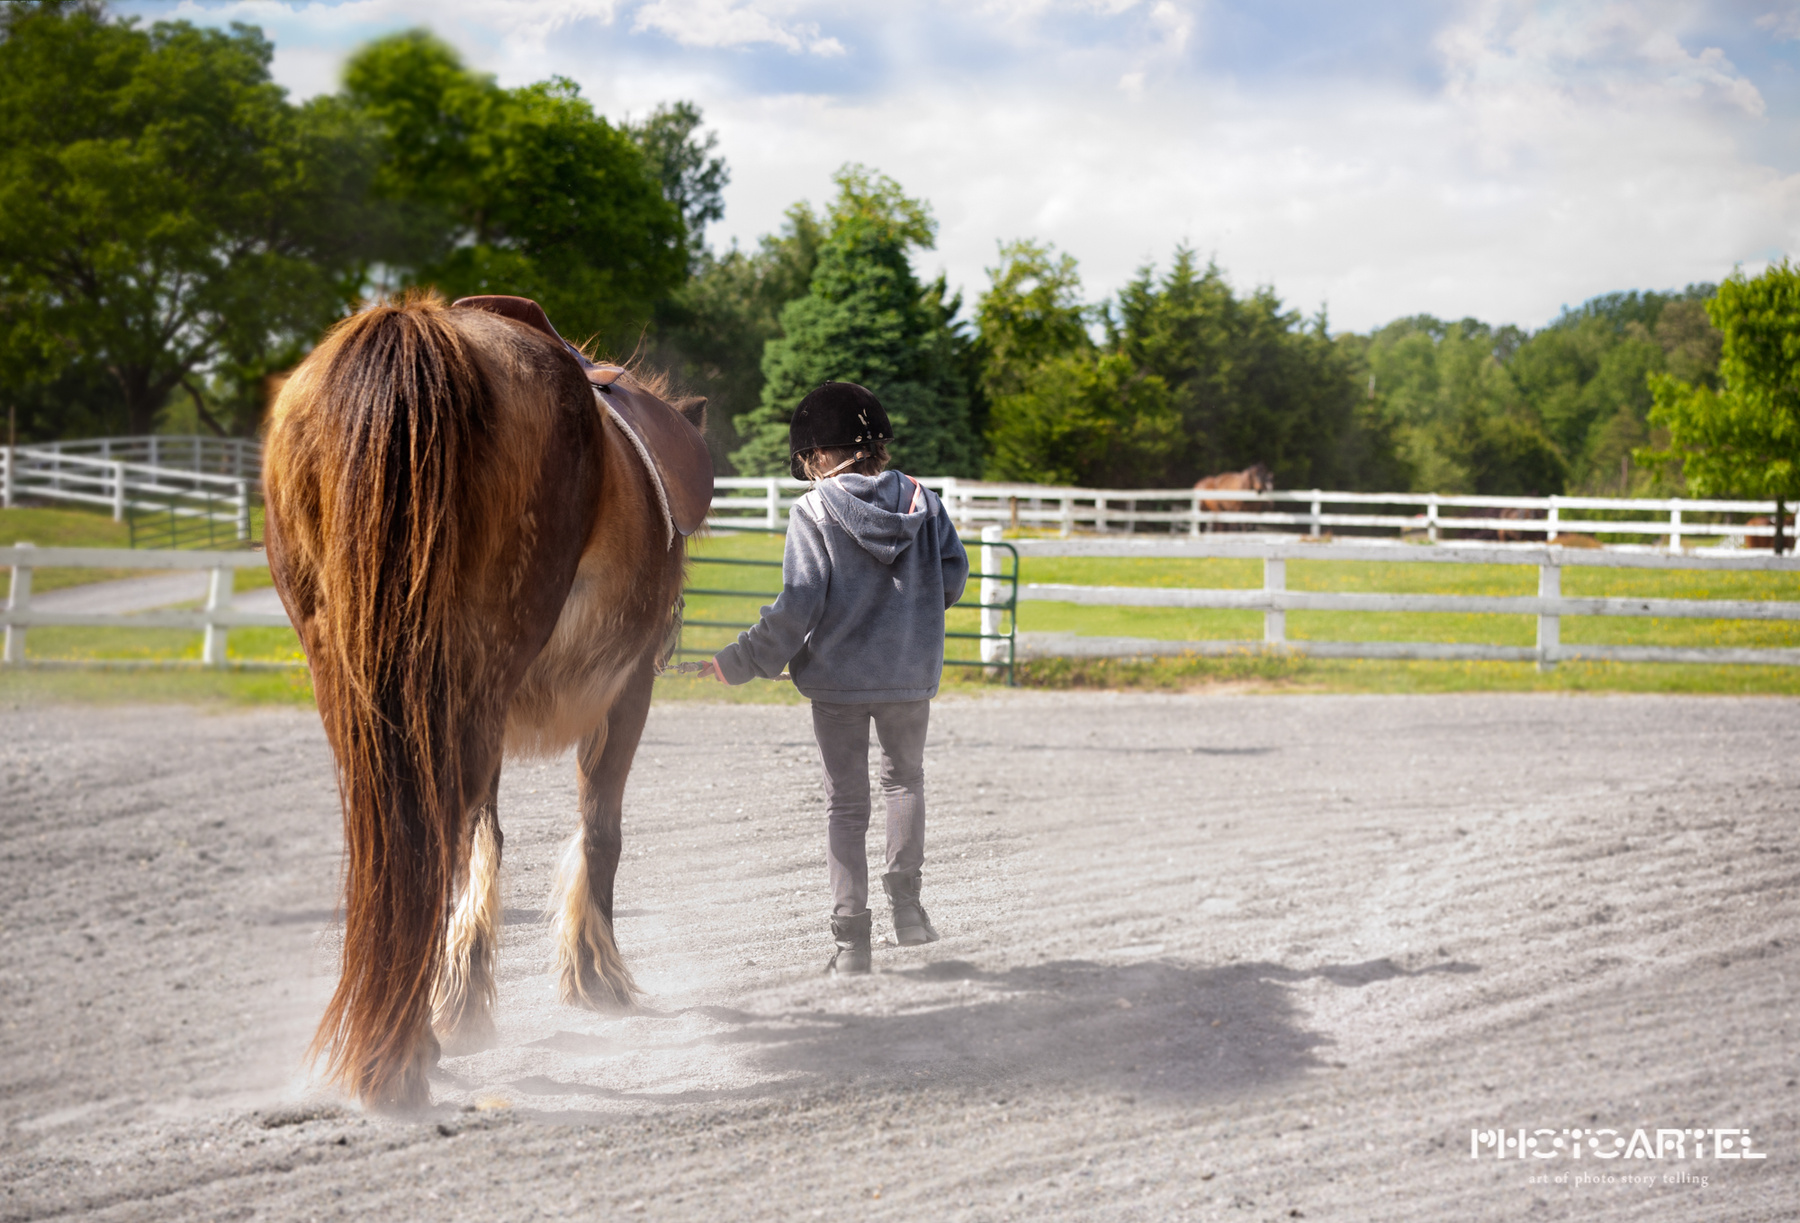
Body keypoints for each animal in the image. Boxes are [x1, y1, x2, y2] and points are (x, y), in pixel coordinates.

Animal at [262, 291, 711, 1112]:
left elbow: (486, 841)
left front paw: (466, 997)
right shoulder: (627, 689)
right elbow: (599, 829)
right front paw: (595, 975)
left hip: (361, 686)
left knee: (400, 842)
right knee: (435, 835)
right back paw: (404, 1054)